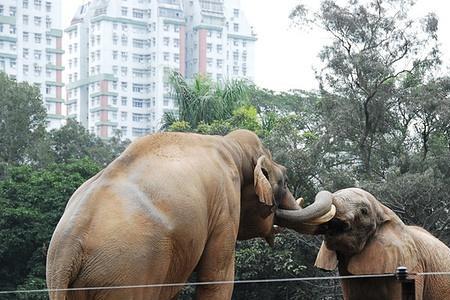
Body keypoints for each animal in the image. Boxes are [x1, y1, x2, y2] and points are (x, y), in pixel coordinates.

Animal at [46, 129, 334, 300]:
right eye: (284, 180)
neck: (231, 146)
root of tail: (68, 247)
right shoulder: (225, 203)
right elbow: (217, 277)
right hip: (124, 273)